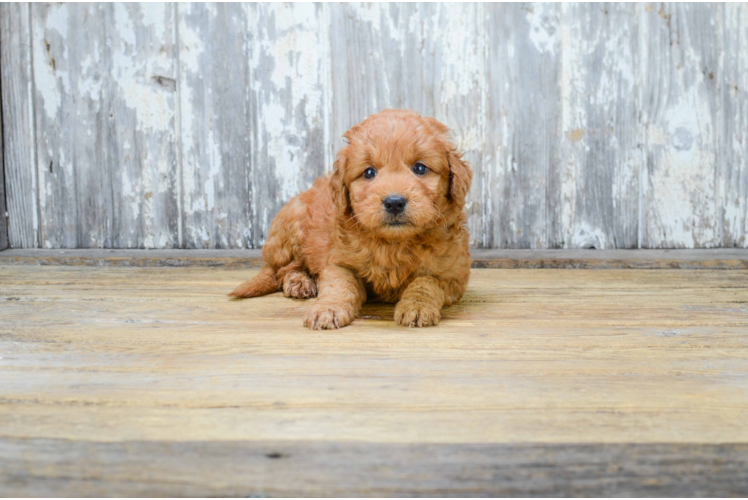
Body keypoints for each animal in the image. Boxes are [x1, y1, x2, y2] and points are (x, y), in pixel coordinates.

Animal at [229, 108, 474, 328]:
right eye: (369, 172)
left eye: (420, 168)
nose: (394, 202)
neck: (394, 244)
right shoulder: (338, 261)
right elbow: (340, 285)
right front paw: (327, 309)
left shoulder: (452, 275)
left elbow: (426, 282)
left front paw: (417, 307)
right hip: (292, 225)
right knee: (283, 270)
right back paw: (299, 282)